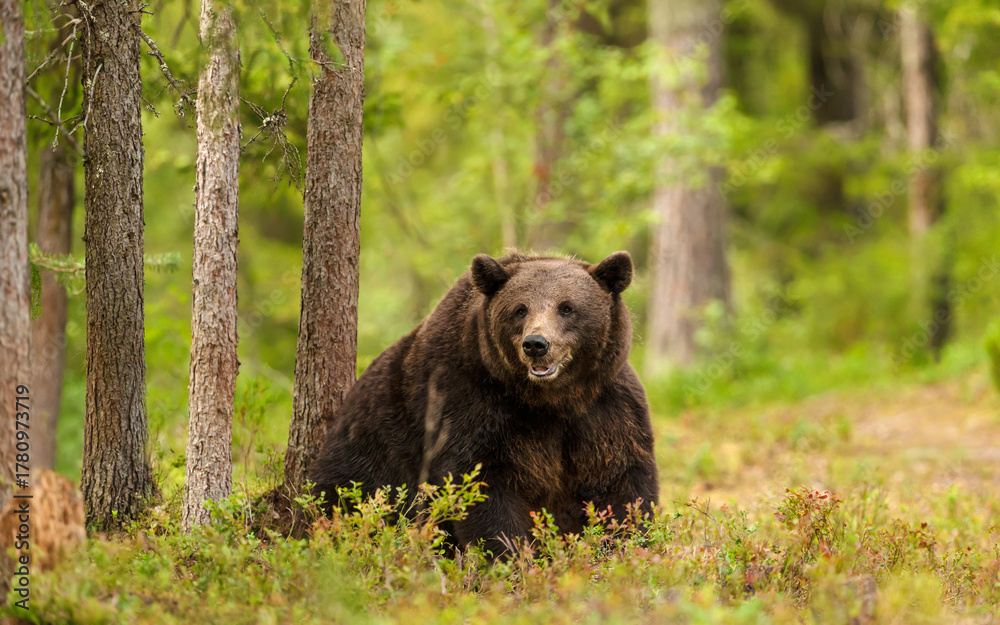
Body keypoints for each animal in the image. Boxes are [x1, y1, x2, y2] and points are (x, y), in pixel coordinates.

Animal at [308, 251, 659, 555]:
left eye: (567, 307)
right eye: (520, 309)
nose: (536, 344)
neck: (550, 400)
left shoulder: (605, 409)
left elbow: (622, 479)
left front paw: (624, 547)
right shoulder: (468, 401)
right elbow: (482, 485)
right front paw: (511, 558)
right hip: (366, 453)